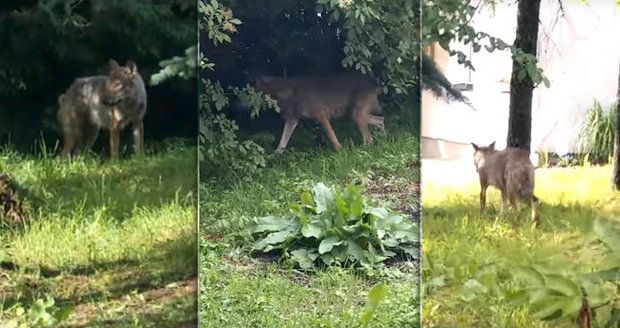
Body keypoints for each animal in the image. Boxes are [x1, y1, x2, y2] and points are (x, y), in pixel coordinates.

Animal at [254, 72, 386, 154]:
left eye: (255, 90)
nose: (249, 104)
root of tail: (373, 84)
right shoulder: (292, 120)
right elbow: (282, 143)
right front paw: (272, 157)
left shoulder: (321, 115)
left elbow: (331, 135)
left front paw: (339, 150)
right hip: (355, 115)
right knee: (380, 121)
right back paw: (382, 140)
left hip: (356, 115)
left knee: (369, 136)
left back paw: (363, 149)